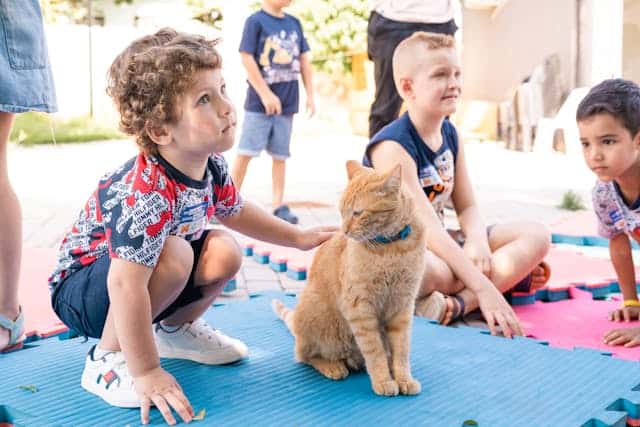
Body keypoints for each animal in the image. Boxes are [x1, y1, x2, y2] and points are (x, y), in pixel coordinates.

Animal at [272, 161, 424, 398]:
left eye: (358, 213)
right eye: (342, 212)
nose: (344, 230)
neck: (391, 248)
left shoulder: (403, 306)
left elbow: (401, 350)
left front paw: (403, 378)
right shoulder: (360, 308)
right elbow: (375, 351)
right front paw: (383, 380)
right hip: (314, 312)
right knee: (304, 355)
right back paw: (333, 366)